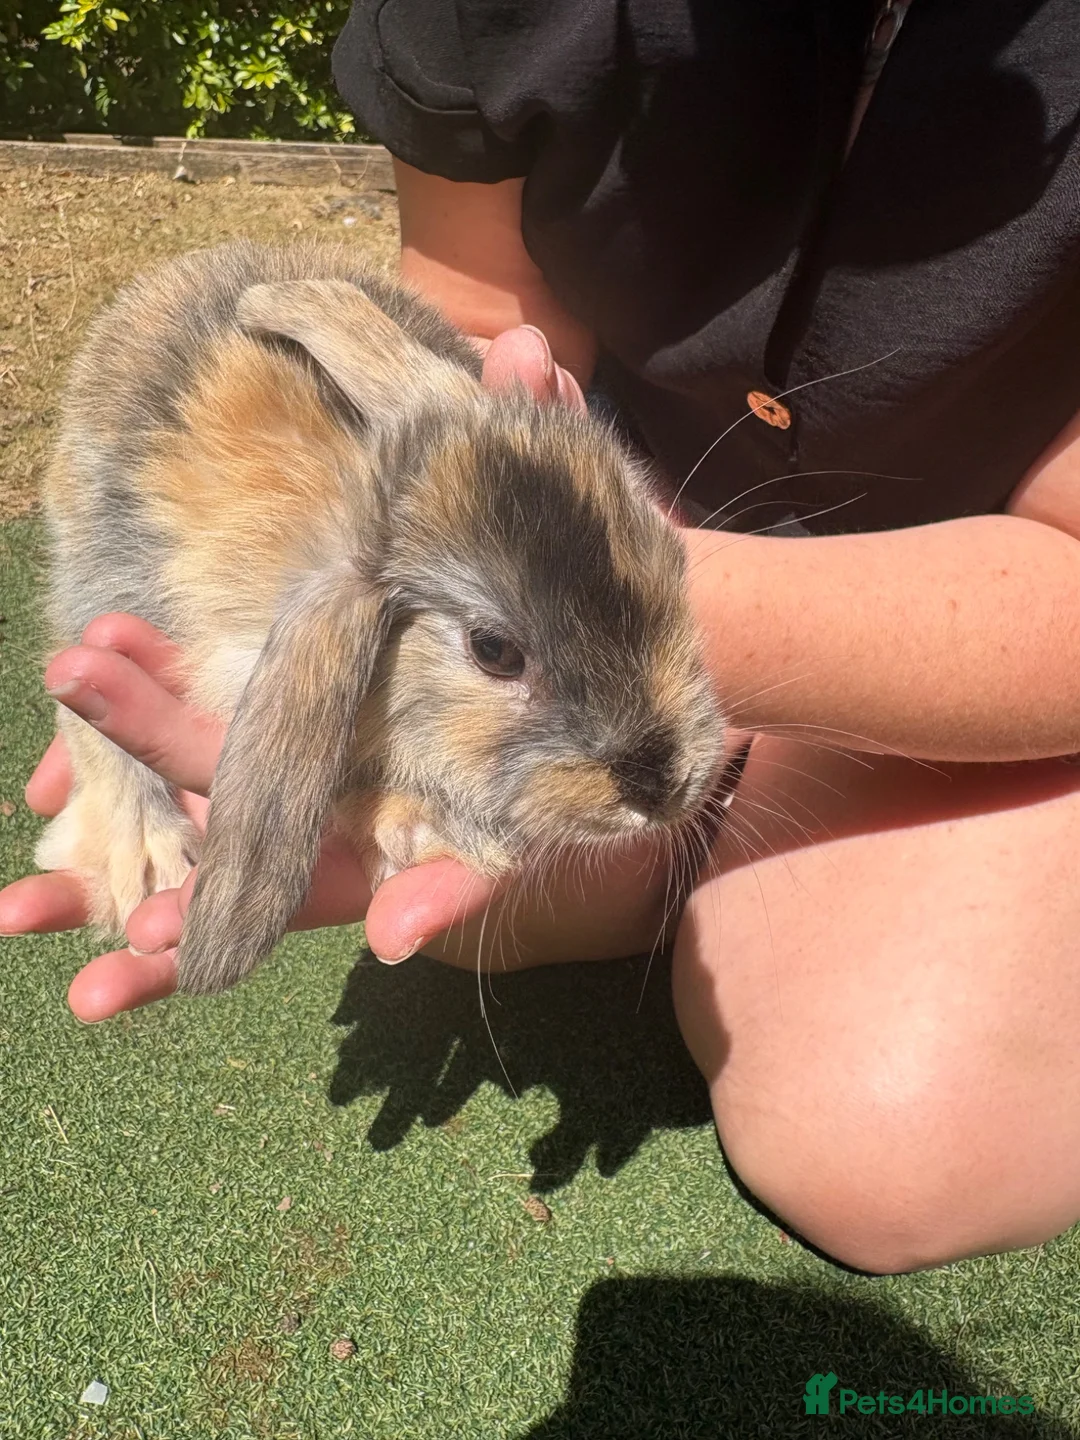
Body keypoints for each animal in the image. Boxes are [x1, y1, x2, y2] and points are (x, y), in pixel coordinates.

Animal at [36, 240, 726, 996]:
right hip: (90, 571)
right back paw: (142, 858)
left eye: (672, 561)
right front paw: (429, 827)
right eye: (493, 650)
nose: (667, 788)